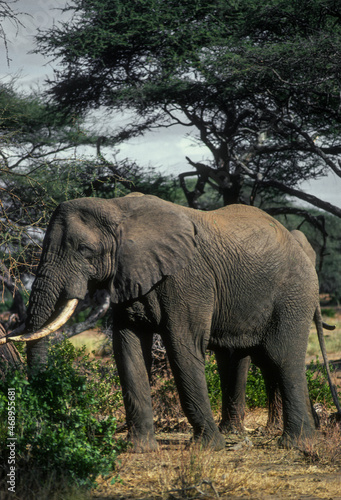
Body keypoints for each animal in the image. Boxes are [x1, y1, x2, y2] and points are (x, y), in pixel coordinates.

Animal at [3, 193, 340, 452]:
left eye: (85, 250)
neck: (117, 209)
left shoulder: (187, 279)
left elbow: (182, 346)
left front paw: (209, 447)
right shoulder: (129, 276)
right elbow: (127, 350)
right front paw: (139, 449)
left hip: (294, 292)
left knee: (281, 358)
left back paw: (295, 444)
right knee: (244, 357)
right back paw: (299, 437)